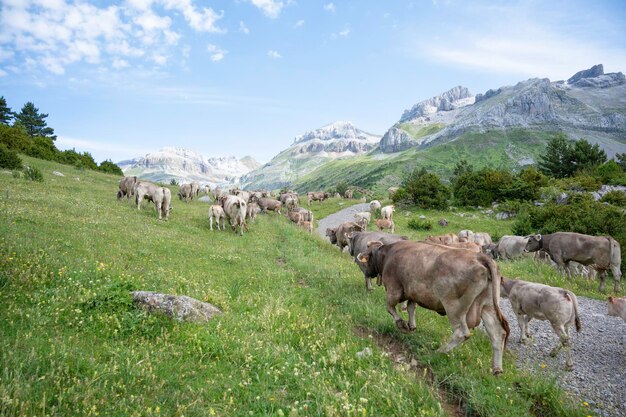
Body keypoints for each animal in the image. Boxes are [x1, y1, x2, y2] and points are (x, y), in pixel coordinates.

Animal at [356, 239, 508, 376]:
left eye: (368, 259)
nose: (367, 273)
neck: (388, 254)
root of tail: (481, 257)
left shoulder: (394, 289)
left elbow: (389, 307)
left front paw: (402, 325)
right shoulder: (413, 293)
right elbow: (411, 308)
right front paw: (412, 325)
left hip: (454, 306)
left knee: (462, 332)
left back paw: (440, 351)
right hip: (488, 305)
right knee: (497, 333)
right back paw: (497, 369)